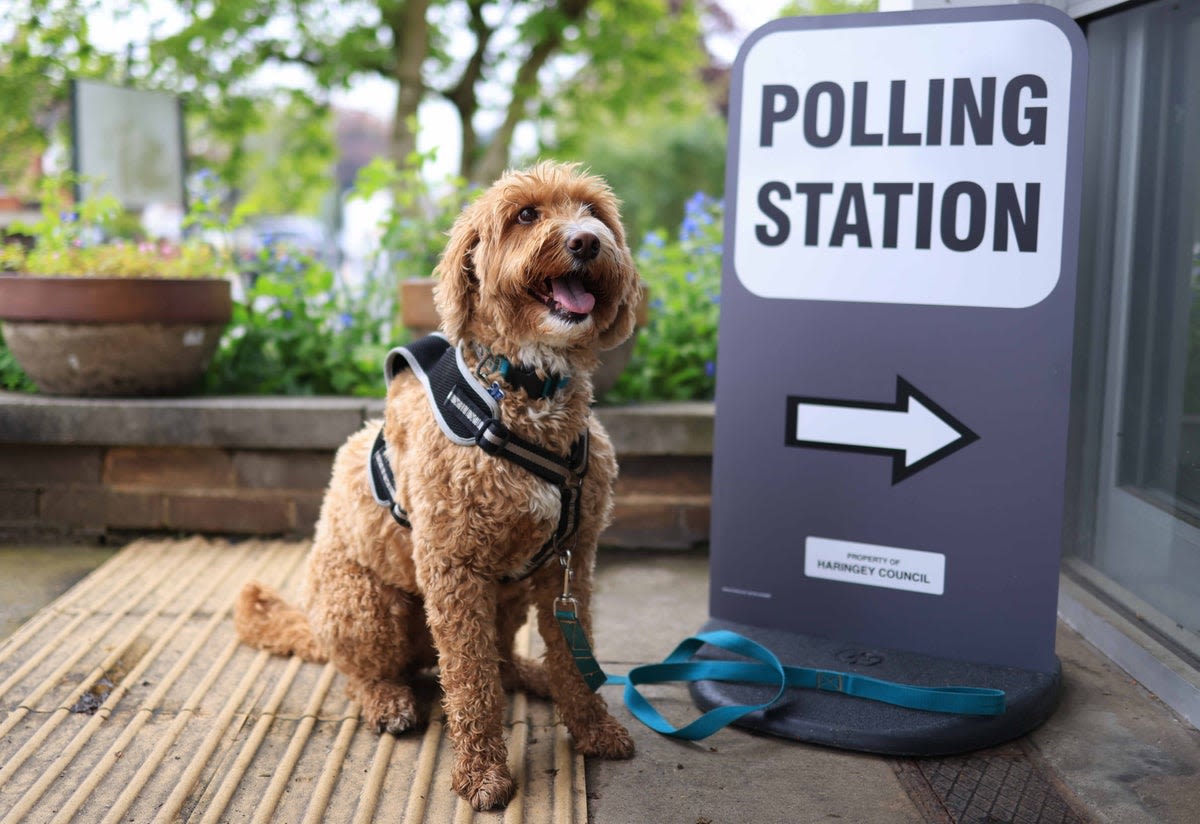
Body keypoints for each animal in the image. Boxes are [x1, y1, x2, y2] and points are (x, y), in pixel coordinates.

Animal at [236, 160, 648, 810]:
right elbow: (469, 680)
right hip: (366, 605)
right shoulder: (453, 568)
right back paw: (387, 699)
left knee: (500, 658)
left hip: (508, 593)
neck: (523, 392)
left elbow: (570, 654)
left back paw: (529, 676)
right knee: (364, 672)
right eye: (525, 214)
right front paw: (482, 774)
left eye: (593, 212)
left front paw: (592, 728)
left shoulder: (572, 561)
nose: (586, 241)